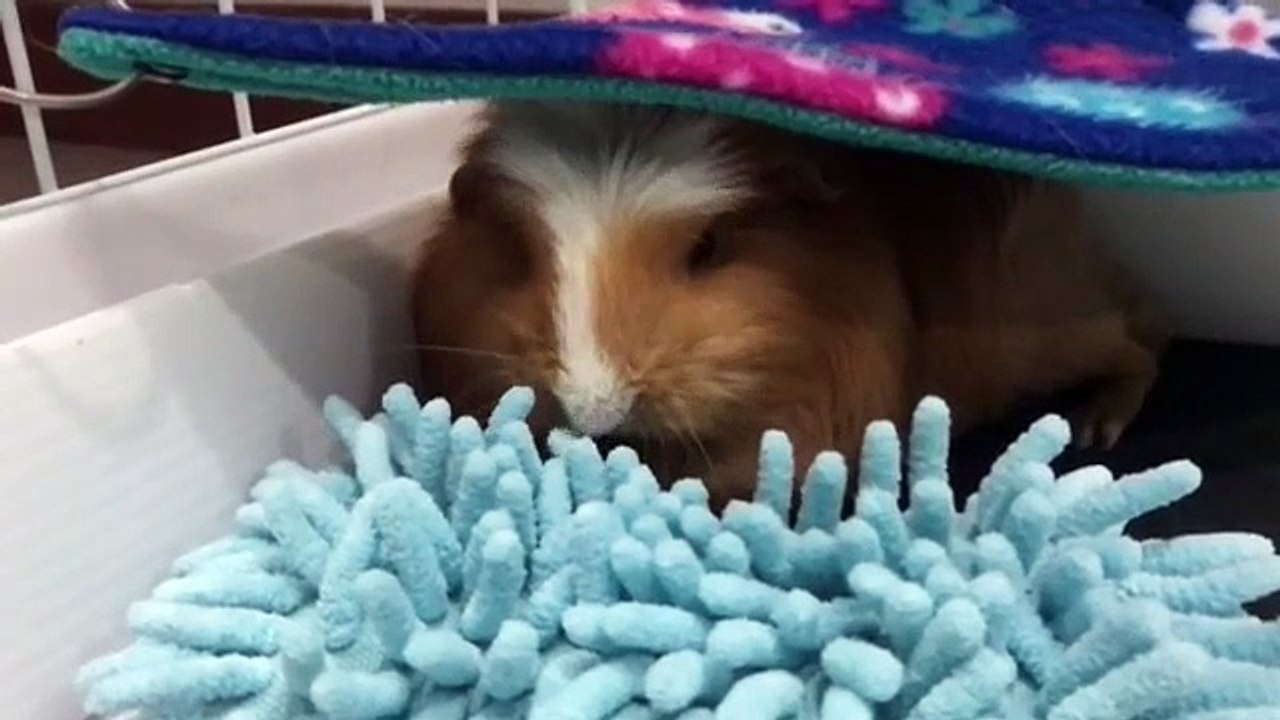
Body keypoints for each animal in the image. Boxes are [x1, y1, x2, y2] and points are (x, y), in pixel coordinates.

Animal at [411, 101, 1162, 509]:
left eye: (708, 247)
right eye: (519, 255)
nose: (594, 408)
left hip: (1047, 339)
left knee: (1144, 343)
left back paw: (1098, 428)